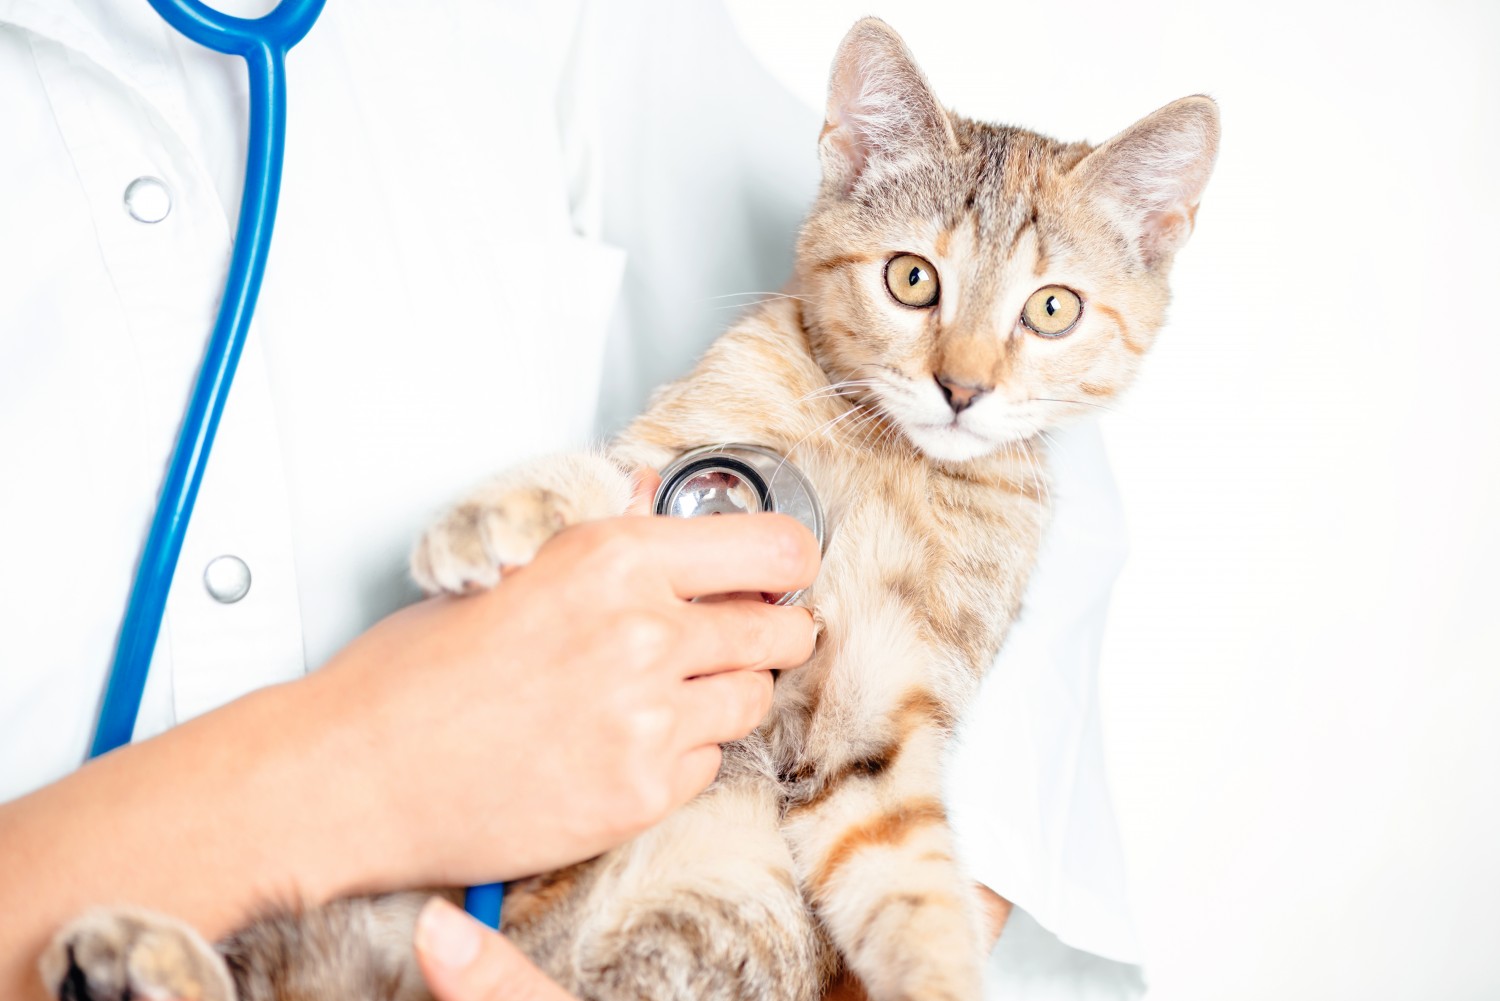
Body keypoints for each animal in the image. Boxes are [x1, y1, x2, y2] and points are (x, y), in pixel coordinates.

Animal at [43, 15, 1218, 1001]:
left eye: (1052, 309)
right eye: (912, 279)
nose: (962, 388)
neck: (890, 461)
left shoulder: (880, 732)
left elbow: (917, 894)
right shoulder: (676, 463)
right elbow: (606, 483)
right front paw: (489, 517)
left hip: (728, 897)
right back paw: (134, 953)